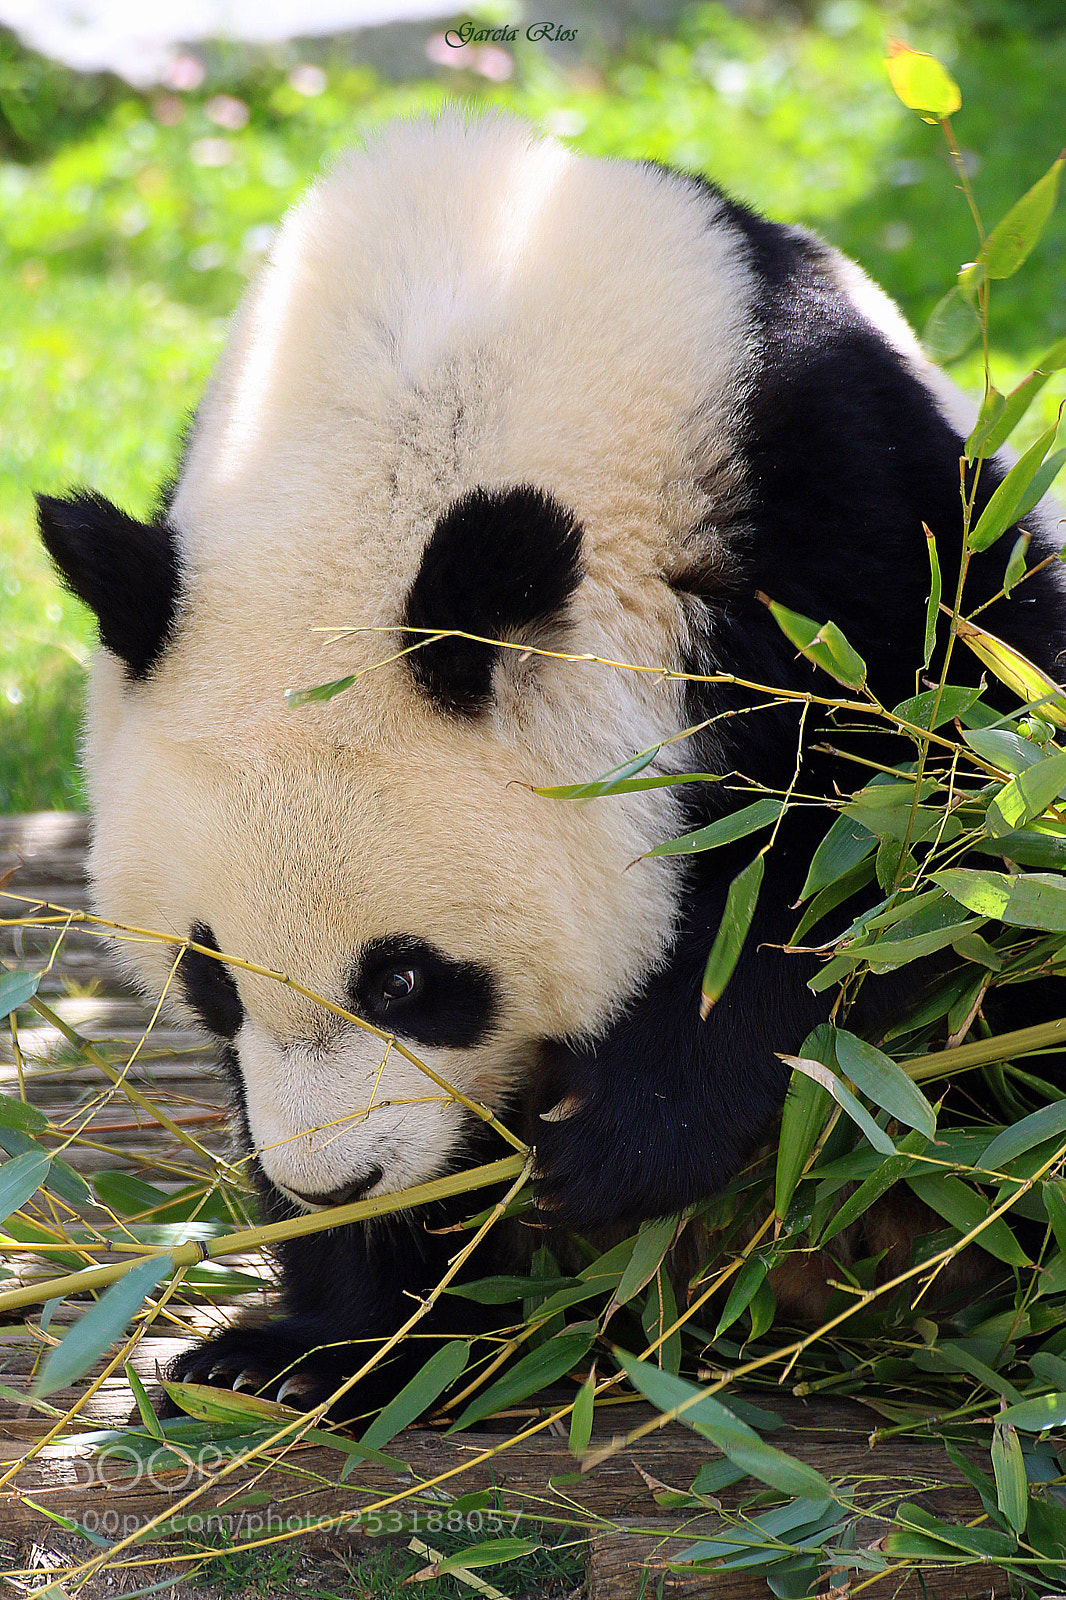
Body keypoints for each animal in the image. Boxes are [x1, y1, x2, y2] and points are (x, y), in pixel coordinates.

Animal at [37, 112, 1065, 1418]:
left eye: (407, 980)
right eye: (210, 974)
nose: (335, 1182)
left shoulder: (843, 515)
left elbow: (896, 834)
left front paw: (623, 1138)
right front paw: (322, 1340)